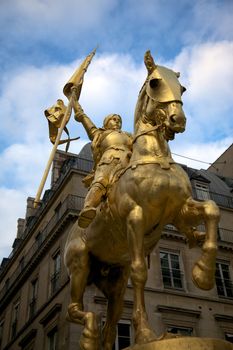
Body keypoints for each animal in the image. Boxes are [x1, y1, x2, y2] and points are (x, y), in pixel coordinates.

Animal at [63, 50, 218, 348]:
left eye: (182, 88)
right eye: (155, 82)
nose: (178, 120)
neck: (154, 158)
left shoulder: (178, 210)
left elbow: (212, 208)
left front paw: (203, 273)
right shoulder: (135, 216)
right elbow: (140, 272)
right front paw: (146, 333)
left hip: (113, 279)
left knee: (111, 322)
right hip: (79, 266)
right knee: (74, 308)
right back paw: (88, 333)